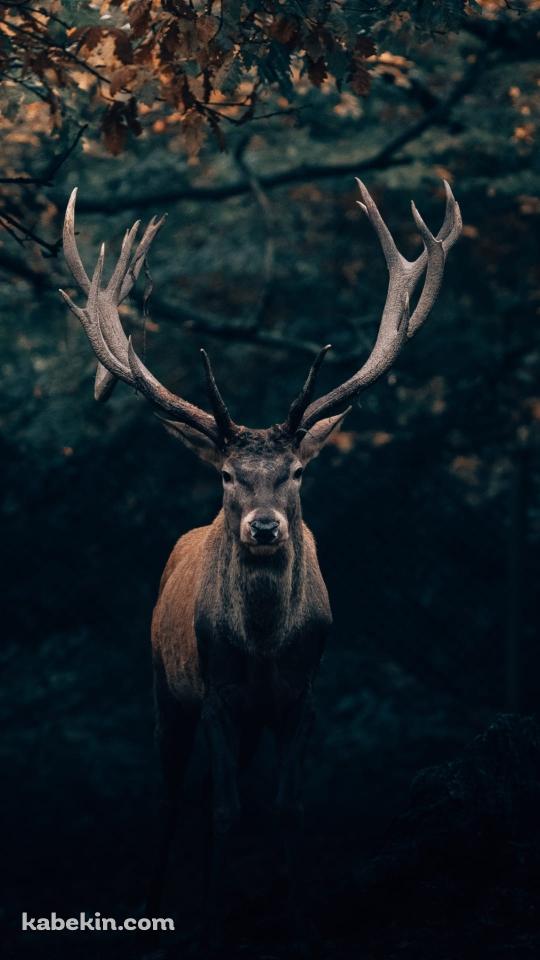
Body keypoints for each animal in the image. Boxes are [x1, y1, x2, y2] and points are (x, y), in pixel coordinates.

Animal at [59, 179, 461, 945]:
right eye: (226, 475)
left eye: (297, 472)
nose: (265, 527)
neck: (267, 646)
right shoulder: (217, 693)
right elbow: (224, 811)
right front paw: (212, 921)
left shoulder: (303, 697)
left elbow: (286, 809)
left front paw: (296, 919)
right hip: (164, 687)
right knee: (172, 798)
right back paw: (158, 905)